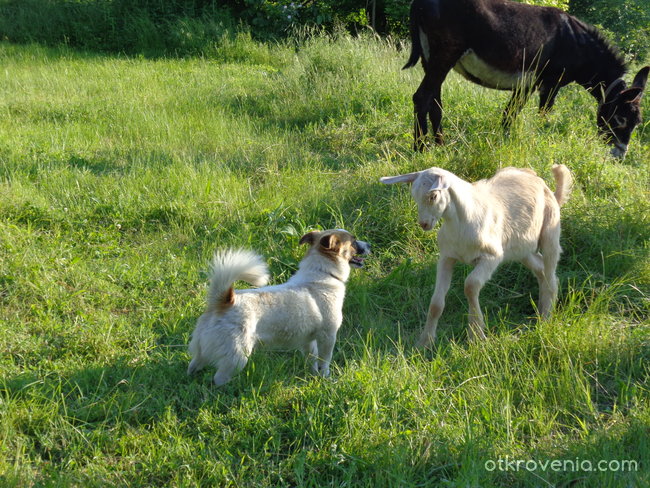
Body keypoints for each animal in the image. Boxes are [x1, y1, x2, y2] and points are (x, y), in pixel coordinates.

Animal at [187, 229, 370, 386]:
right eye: (354, 241)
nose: (369, 244)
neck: (323, 273)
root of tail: (224, 301)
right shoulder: (328, 336)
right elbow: (325, 361)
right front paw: (325, 378)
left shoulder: (308, 341)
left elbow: (312, 359)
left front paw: (313, 376)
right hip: (237, 357)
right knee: (219, 379)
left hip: (202, 353)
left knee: (193, 366)